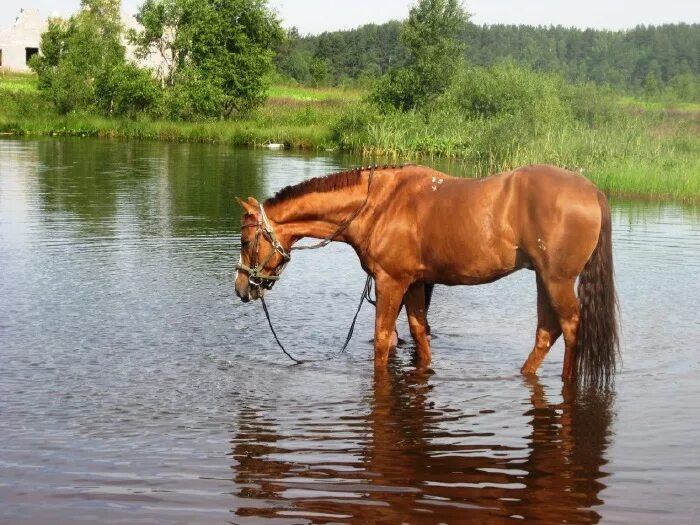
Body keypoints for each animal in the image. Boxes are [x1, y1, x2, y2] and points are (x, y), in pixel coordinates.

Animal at [235, 164, 616, 384]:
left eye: (245, 240)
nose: (241, 287)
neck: (378, 204)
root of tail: (593, 191)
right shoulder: (415, 283)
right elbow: (420, 333)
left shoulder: (391, 282)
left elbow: (383, 339)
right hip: (543, 278)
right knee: (546, 332)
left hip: (557, 280)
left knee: (570, 328)